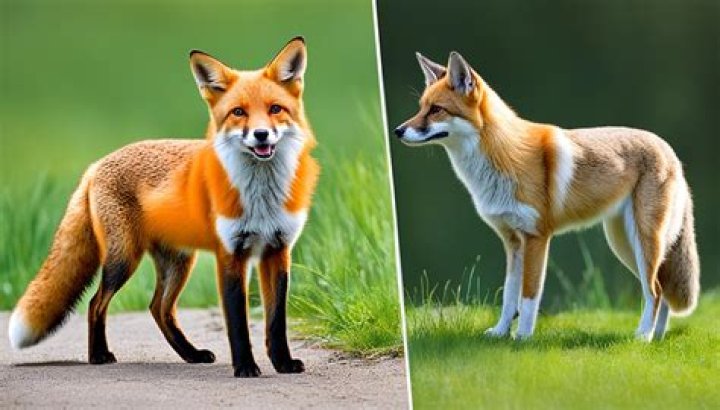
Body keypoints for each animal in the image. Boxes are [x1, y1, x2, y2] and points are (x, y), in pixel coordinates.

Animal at [8, 37, 319, 377]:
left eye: (275, 109)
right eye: (238, 112)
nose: (261, 135)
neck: (260, 195)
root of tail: (95, 165)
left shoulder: (277, 250)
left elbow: (276, 322)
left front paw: (283, 362)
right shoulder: (230, 254)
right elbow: (238, 324)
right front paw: (246, 368)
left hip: (178, 261)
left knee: (158, 308)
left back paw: (191, 354)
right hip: (124, 259)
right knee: (96, 303)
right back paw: (98, 355)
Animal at [394, 51, 700, 341]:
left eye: (436, 110)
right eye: (421, 107)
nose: (397, 131)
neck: (502, 159)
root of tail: (670, 150)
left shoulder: (536, 238)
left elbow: (528, 298)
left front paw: (523, 338)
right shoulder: (512, 241)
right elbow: (509, 297)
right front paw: (501, 333)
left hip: (642, 241)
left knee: (655, 291)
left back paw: (643, 337)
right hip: (625, 244)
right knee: (661, 290)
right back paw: (656, 338)